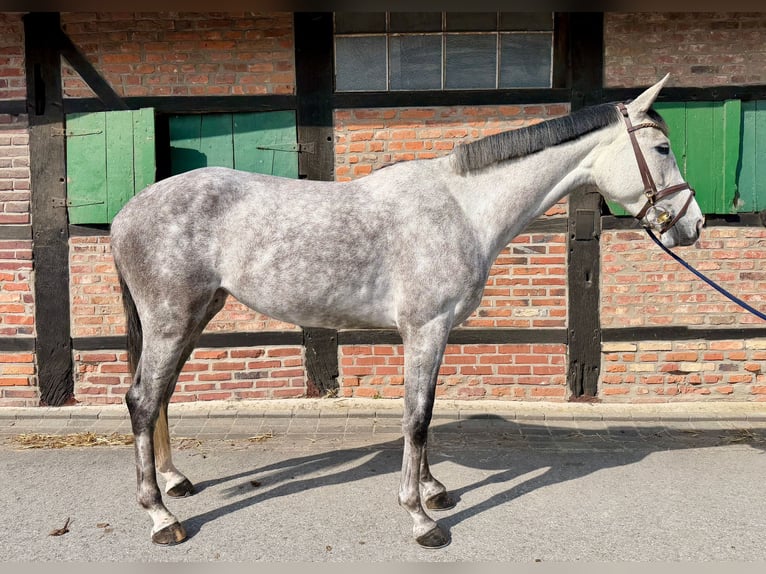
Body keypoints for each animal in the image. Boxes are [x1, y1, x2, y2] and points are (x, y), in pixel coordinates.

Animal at [110, 75, 704, 548]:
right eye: (662, 147)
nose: (692, 224)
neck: (463, 209)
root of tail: (126, 213)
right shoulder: (426, 329)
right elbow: (416, 419)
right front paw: (420, 518)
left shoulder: (432, 335)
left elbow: (425, 414)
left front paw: (434, 490)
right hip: (172, 319)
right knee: (142, 400)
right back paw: (161, 516)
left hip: (195, 316)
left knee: (161, 396)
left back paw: (174, 481)